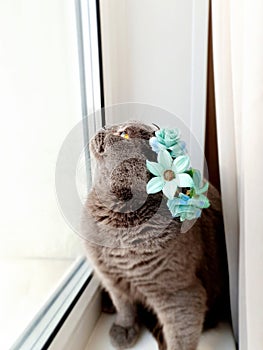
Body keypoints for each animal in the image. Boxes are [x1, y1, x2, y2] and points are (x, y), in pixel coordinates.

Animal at [81, 121, 230, 350]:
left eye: (124, 134)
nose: (104, 127)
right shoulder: (111, 276)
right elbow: (124, 305)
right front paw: (123, 328)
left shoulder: (180, 294)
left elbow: (180, 336)